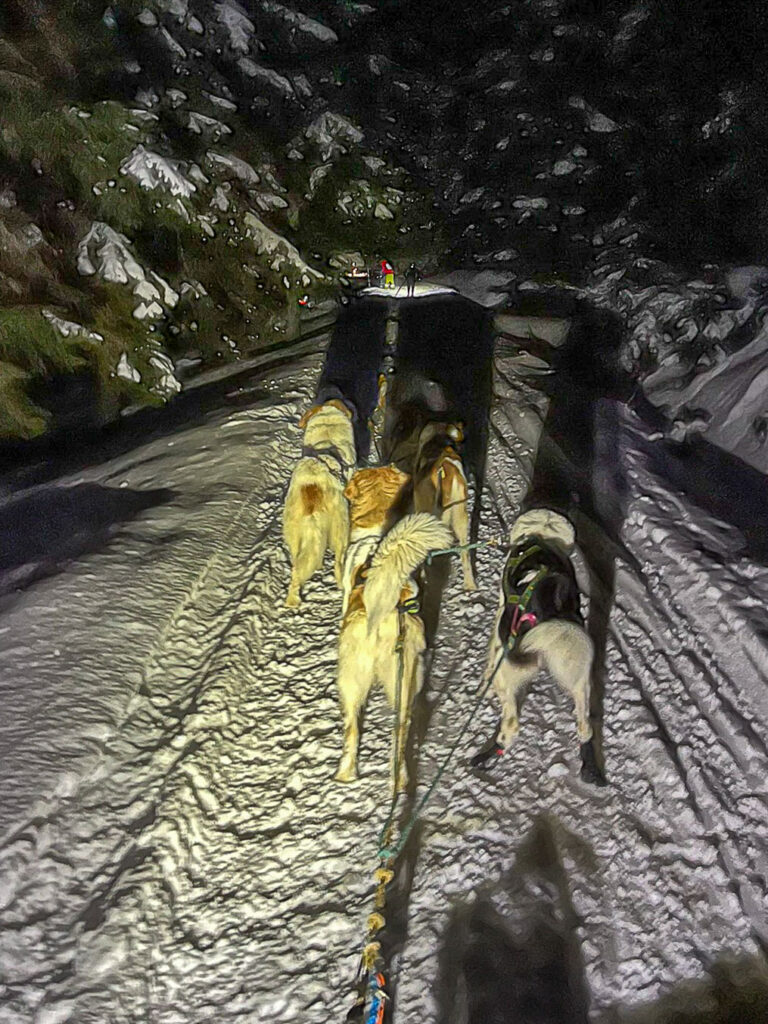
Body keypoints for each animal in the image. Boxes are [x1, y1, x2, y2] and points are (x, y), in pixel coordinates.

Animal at [468, 509, 606, 782]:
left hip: (507, 677)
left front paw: (482, 689)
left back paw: (485, 757)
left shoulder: (498, 624)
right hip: (580, 682)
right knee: (585, 728)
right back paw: (590, 768)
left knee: (510, 727)